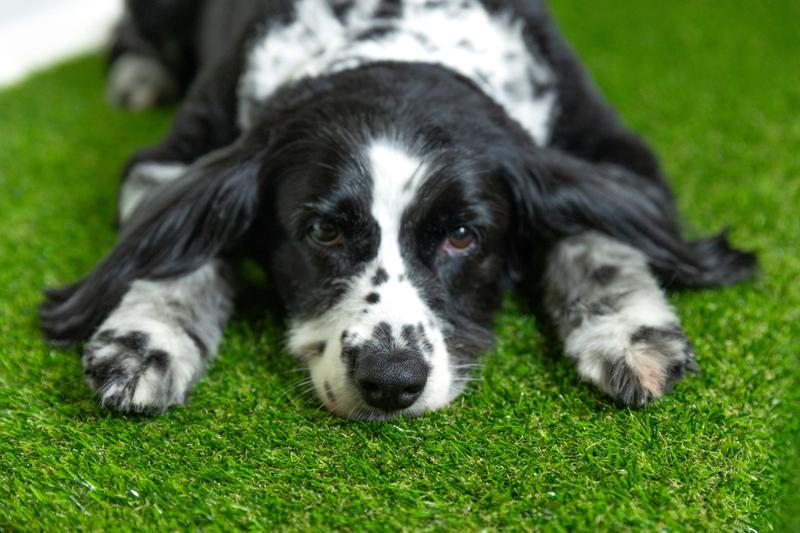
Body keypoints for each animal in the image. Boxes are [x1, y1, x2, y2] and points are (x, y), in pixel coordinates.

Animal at [39, 0, 756, 418]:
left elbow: (598, 237)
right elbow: (180, 252)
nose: (391, 379)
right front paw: (145, 342)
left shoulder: (617, 152)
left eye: (463, 236)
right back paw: (137, 76)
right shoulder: (170, 156)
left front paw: (629, 335)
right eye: (324, 232)